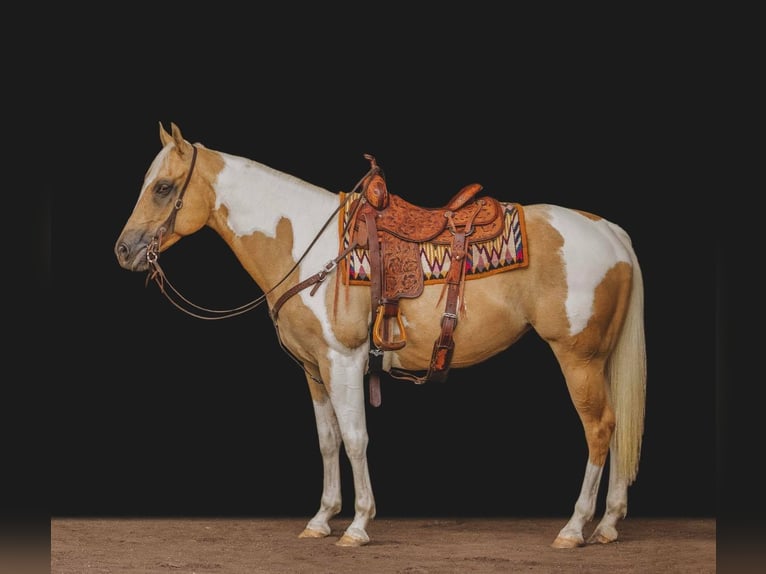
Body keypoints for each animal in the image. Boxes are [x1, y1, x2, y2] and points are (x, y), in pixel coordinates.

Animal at [115, 124, 648, 552]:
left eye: (163, 187)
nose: (124, 250)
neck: (307, 247)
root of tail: (611, 233)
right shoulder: (314, 369)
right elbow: (328, 440)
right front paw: (321, 519)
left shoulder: (345, 360)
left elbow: (355, 438)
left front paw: (358, 526)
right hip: (599, 359)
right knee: (618, 427)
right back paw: (608, 525)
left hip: (578, 358)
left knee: (600, 429)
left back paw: (575, 528)